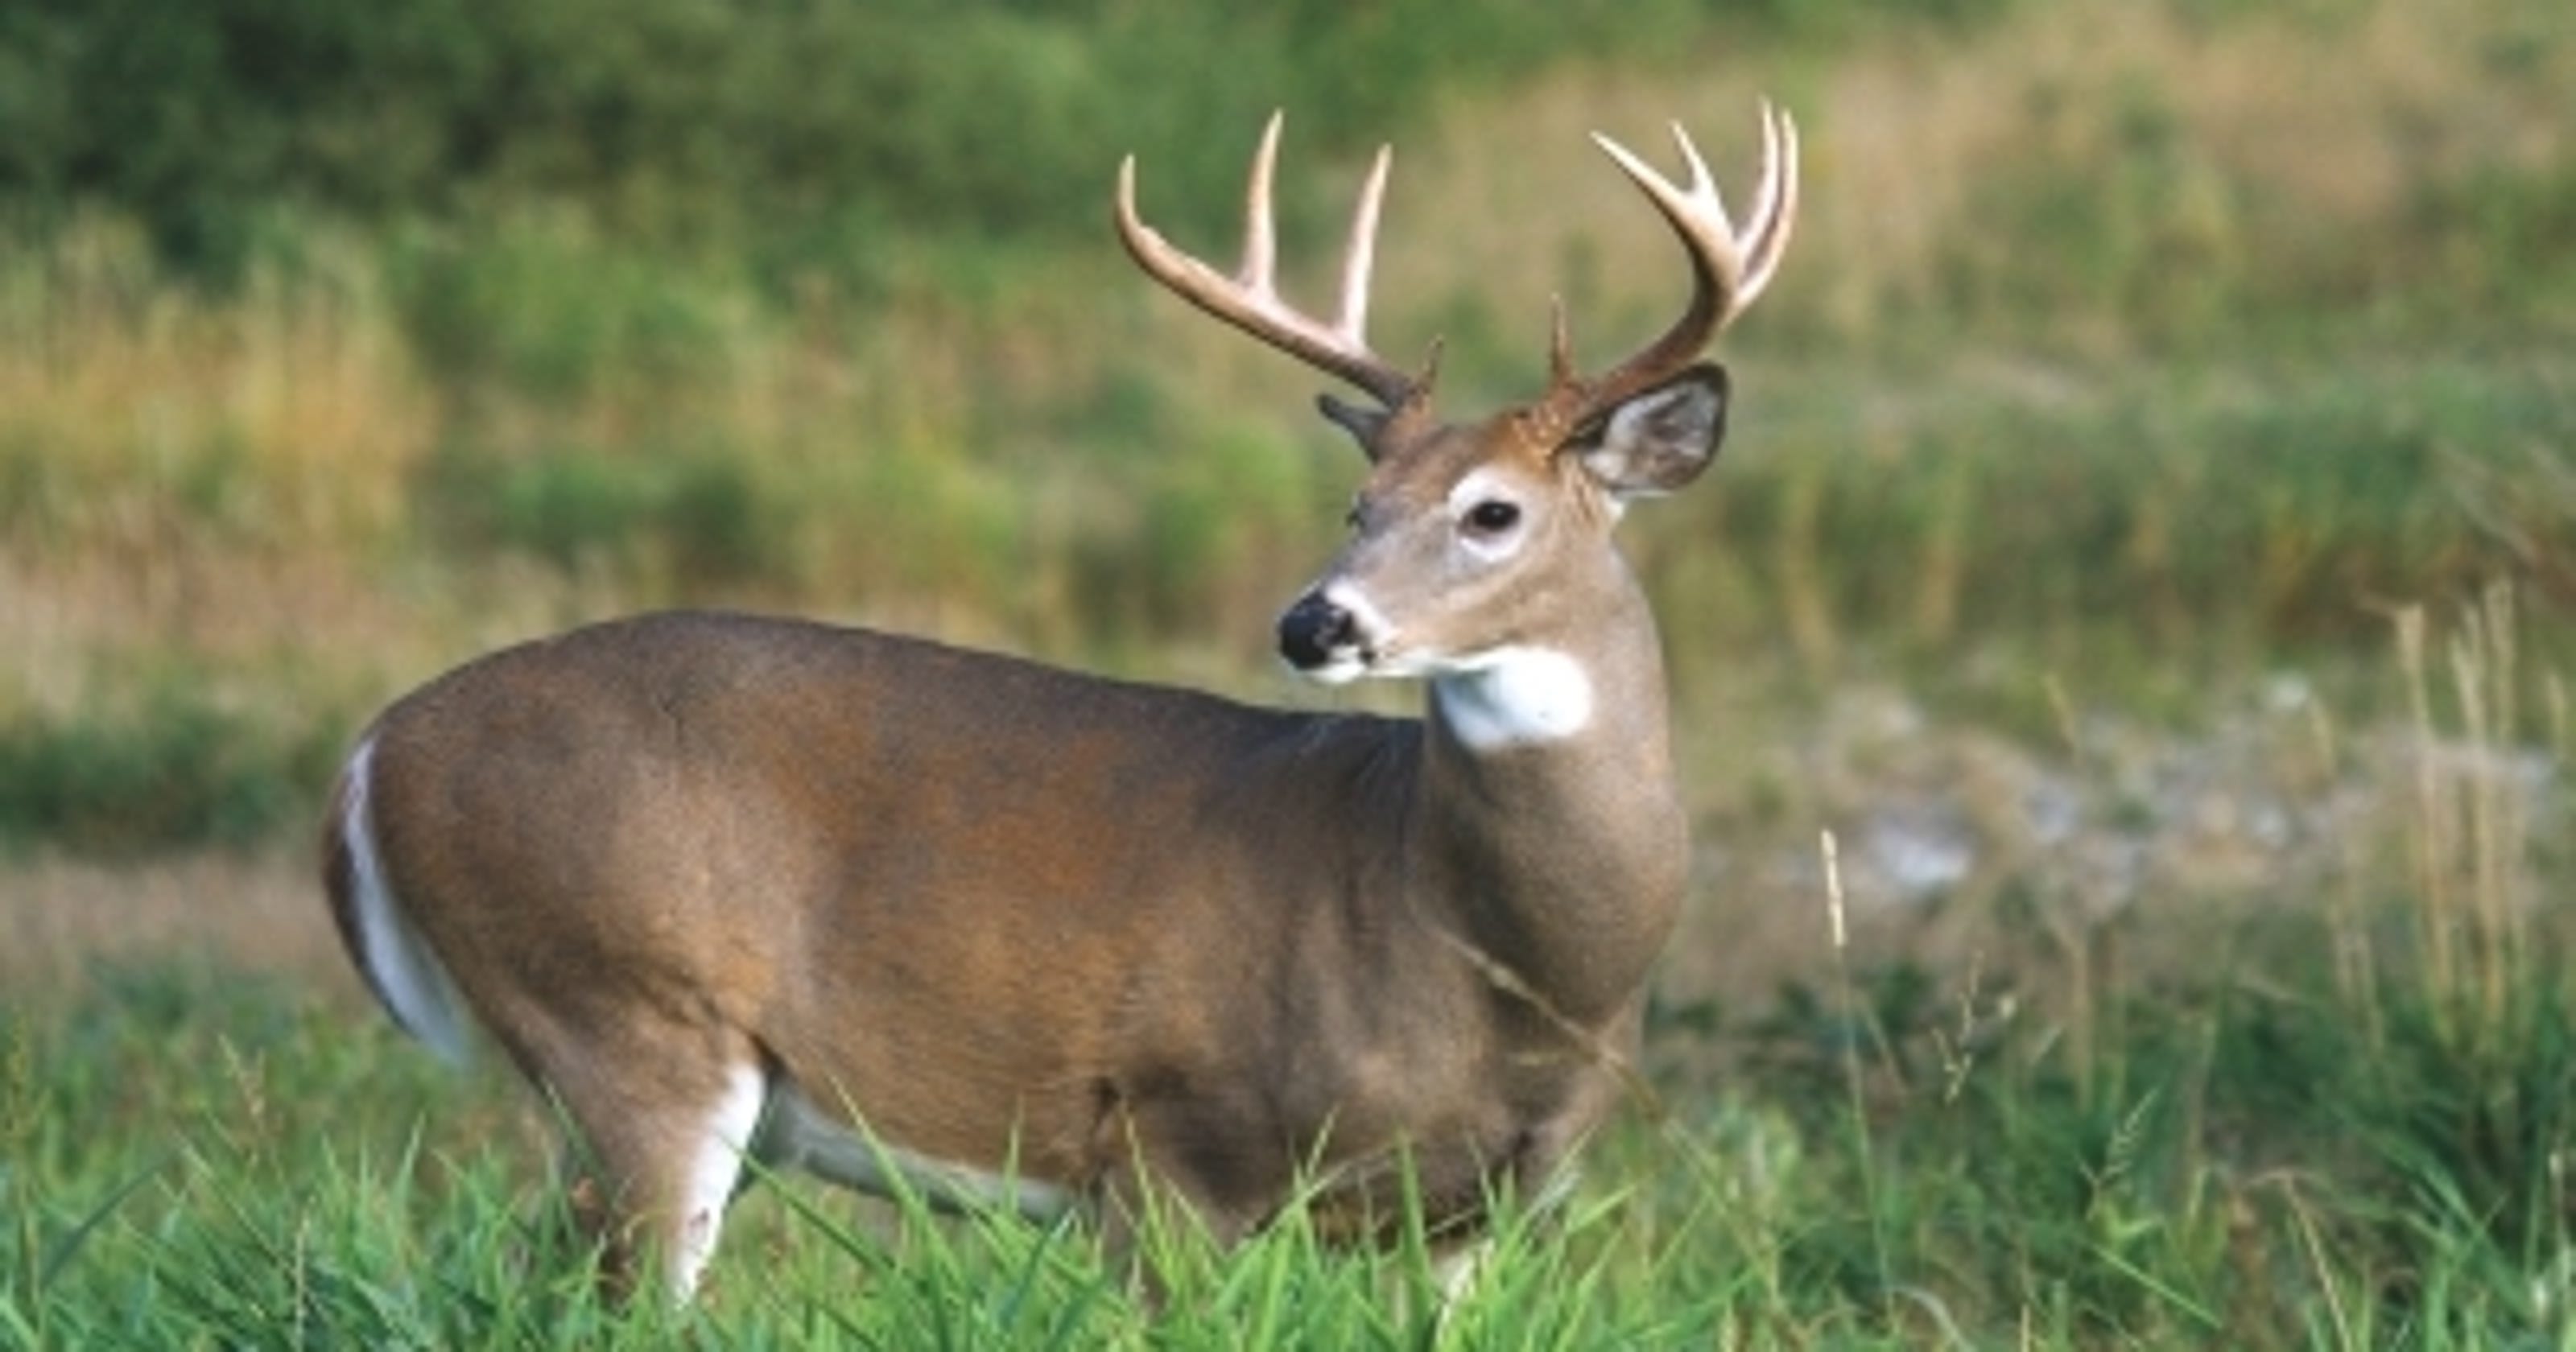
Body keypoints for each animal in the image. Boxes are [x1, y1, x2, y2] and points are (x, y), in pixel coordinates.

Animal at [322, 101, 1797, 1303]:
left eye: (1492, 512)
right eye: (1357, 505)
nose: (1313, 621)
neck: (1492, 962)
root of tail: (375, 751)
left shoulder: (1479, 1215)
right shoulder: (1168, 1142)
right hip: (625, 1009)